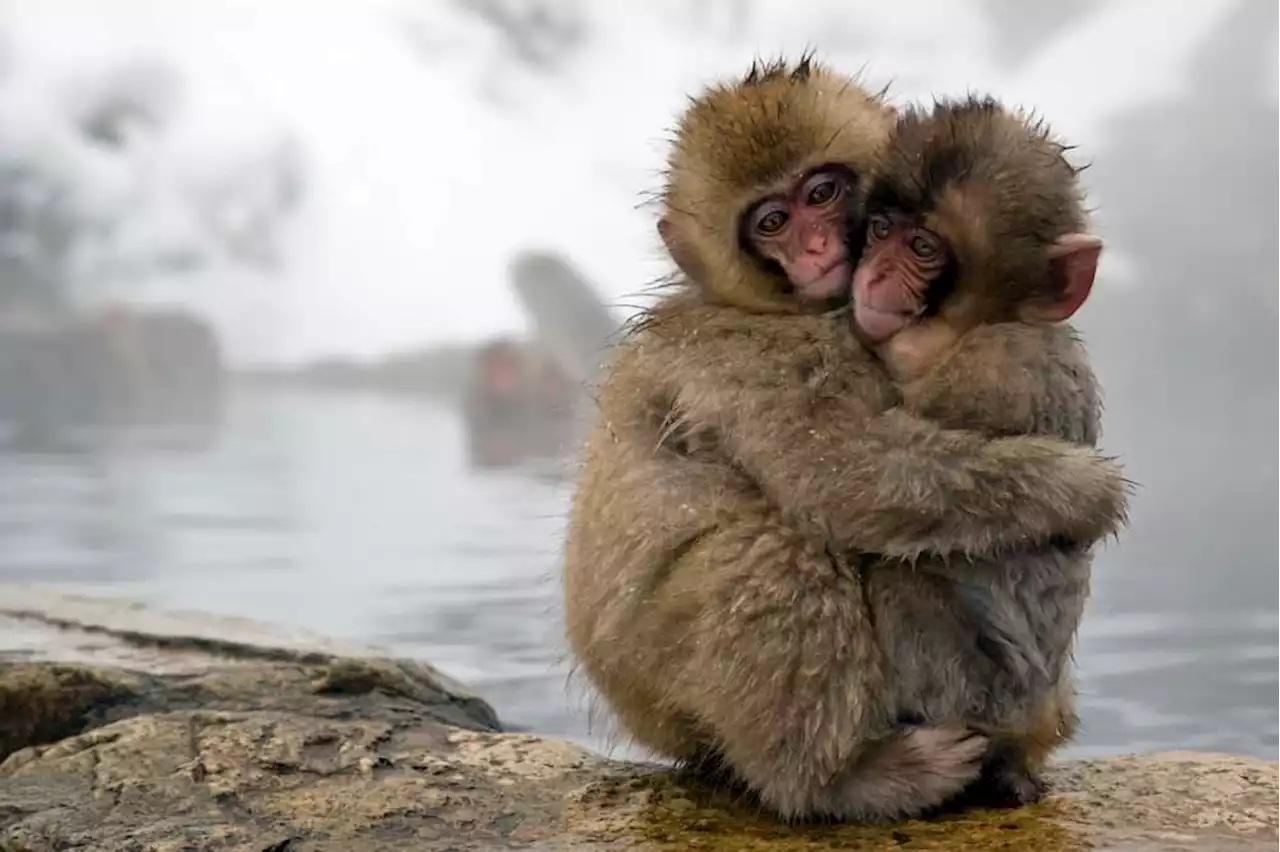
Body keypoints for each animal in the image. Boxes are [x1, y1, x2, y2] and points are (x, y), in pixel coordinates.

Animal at [565, 56, 1126, 818]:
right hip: (658, 674)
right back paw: (839, 781)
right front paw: (1082, 489)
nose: (816, 246)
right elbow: (844, 474)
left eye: (822, 193)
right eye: (773, 222)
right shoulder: (760, 353)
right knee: (770, 550)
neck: (767, 306)